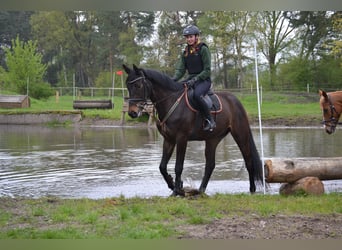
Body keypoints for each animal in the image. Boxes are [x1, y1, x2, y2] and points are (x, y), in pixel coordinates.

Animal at [123, 64, 264, 195]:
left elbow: (178, 166)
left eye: (138, 86)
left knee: (248, 161)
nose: (132, 113)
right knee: (210, 165)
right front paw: (173, 185)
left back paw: (252, 189)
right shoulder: (169, 140)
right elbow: (162, 167)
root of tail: (235, 100)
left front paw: (178, 190)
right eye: (128, 87)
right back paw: (200, 190)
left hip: (240, 135)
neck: (171, 101)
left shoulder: (181, 139)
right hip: (213, 139)